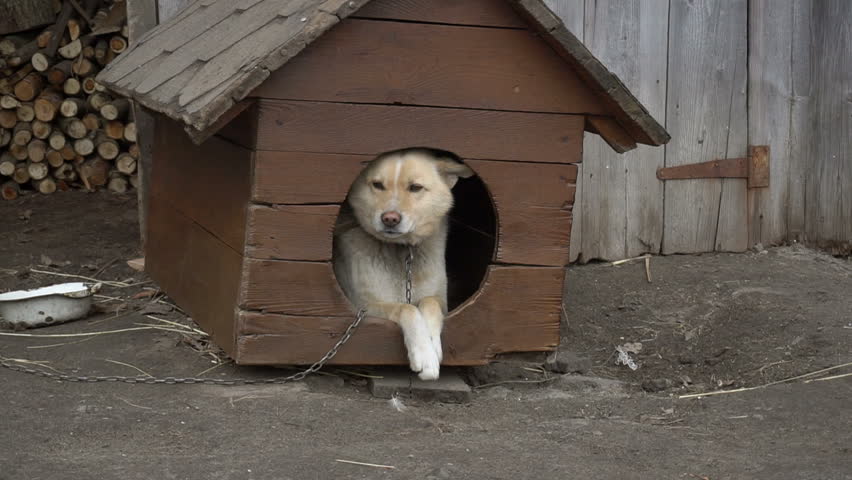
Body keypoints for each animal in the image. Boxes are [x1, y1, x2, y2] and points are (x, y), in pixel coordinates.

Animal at [332, 148, 476, 380]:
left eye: (415, 187)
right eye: (377, 185)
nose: (390, 218)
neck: (401, 249)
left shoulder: (441, 300)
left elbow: (429, 303)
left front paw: (432, 344)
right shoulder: (363, 306)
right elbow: (406, 308)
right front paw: (425, 355)